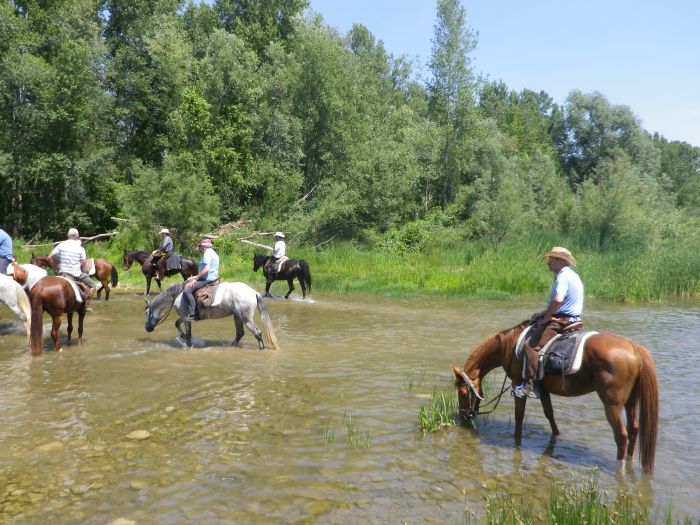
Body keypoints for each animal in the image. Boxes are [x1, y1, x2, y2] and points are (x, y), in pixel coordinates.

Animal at [144, 280, 278, 350]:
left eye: (146, 313)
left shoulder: (185, 317)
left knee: (257, 333)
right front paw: (184, 338)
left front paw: (186, 342)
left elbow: (180, 326)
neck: (178, 294)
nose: (147, 328)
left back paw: (261, 349)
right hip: (237, 316)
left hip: (246, 318)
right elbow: (183, 328)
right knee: (240, 333)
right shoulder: (186, 318)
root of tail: (254, 292)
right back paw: (230, 346)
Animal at [452, 322, 660, 472]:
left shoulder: (518, 385)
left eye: (463, 392)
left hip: (612, 404)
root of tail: (634, 348)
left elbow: (519, 418)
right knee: (634, 429)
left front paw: (517, 442)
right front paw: (557, 436)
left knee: (621, 435)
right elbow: (549, 414)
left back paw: (620, 469)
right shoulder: (542, 389)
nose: (464, 416)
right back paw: (630, 461)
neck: (509, 346)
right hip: (631, 401)